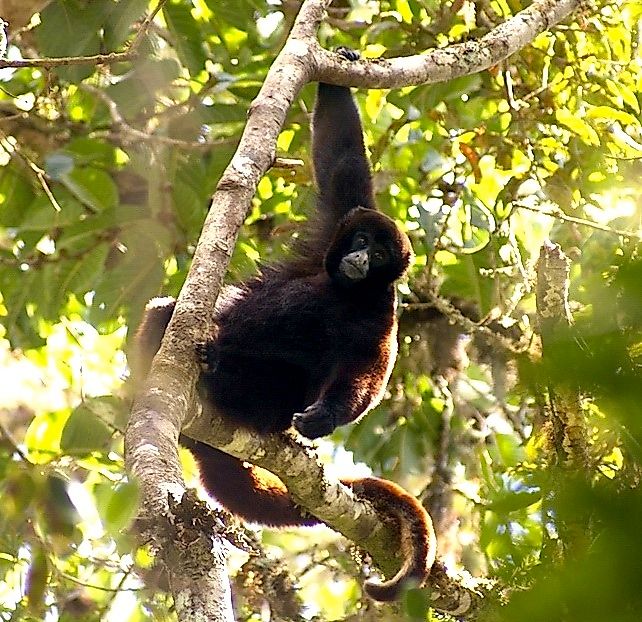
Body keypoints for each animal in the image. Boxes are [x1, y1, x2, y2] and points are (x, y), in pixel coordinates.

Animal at [134, 48, 436, 601]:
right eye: (362, 240)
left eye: (381, 255)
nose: (361, 257)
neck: (347, 290)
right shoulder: (333, 231)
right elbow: (342, 164)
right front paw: (341, 67)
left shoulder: (381, 311)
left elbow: (368, 372)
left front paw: (325, 417)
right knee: (164, 313)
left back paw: (220, 376)